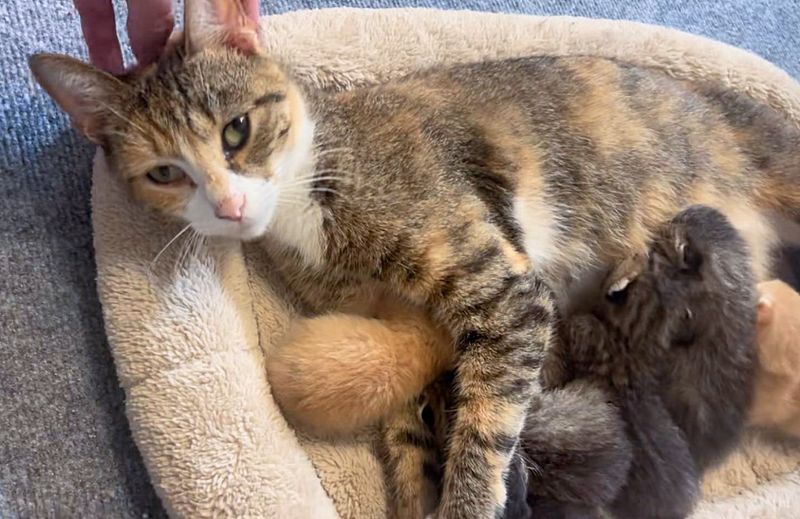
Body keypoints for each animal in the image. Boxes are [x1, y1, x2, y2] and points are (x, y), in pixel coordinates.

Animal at [28, 1, 800, 516]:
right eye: (164, 173)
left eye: (237, 130)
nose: (229, 206)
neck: (312, 189)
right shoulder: (397, 323)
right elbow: (402, 425)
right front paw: (413, 487)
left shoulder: (504, 288)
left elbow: (483, 428)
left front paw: (467, 494)